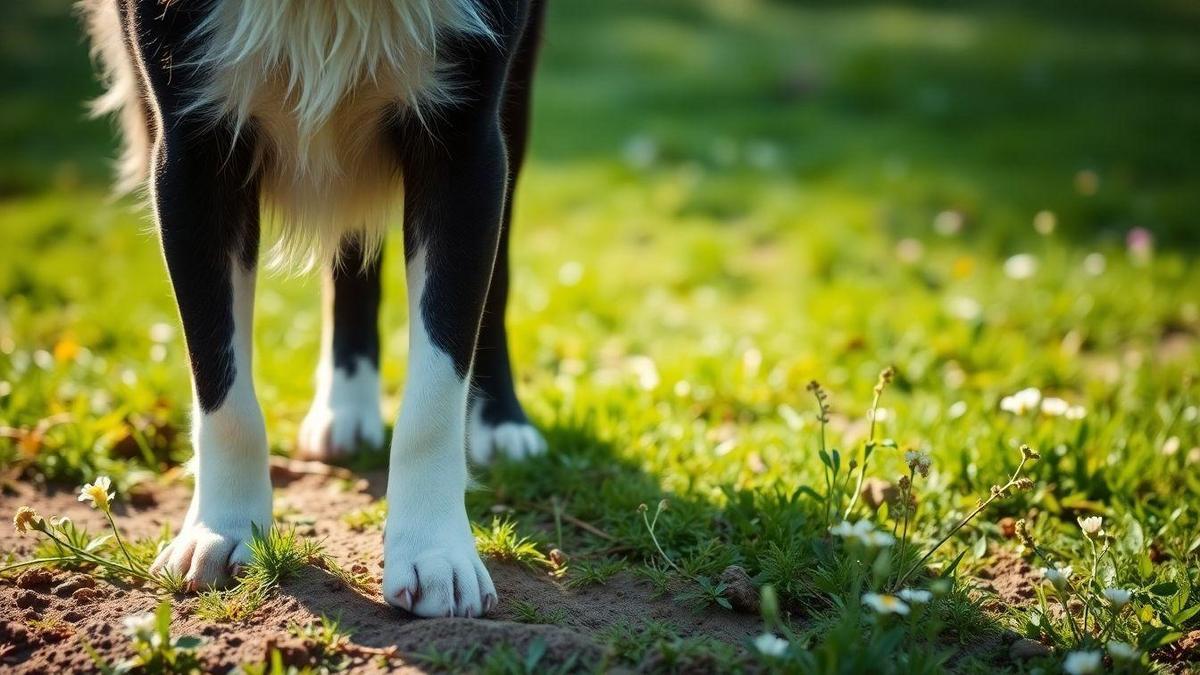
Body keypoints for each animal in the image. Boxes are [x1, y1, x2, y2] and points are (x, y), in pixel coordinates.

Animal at [83, 0, 549, 614]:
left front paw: (436, 554)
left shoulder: (466, 135)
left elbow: (436, 388)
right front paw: (222, 531)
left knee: (491, 285)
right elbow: (219, 380)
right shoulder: (189, 139)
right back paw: (345, 409)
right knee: (351, 259)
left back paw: (501, 423)